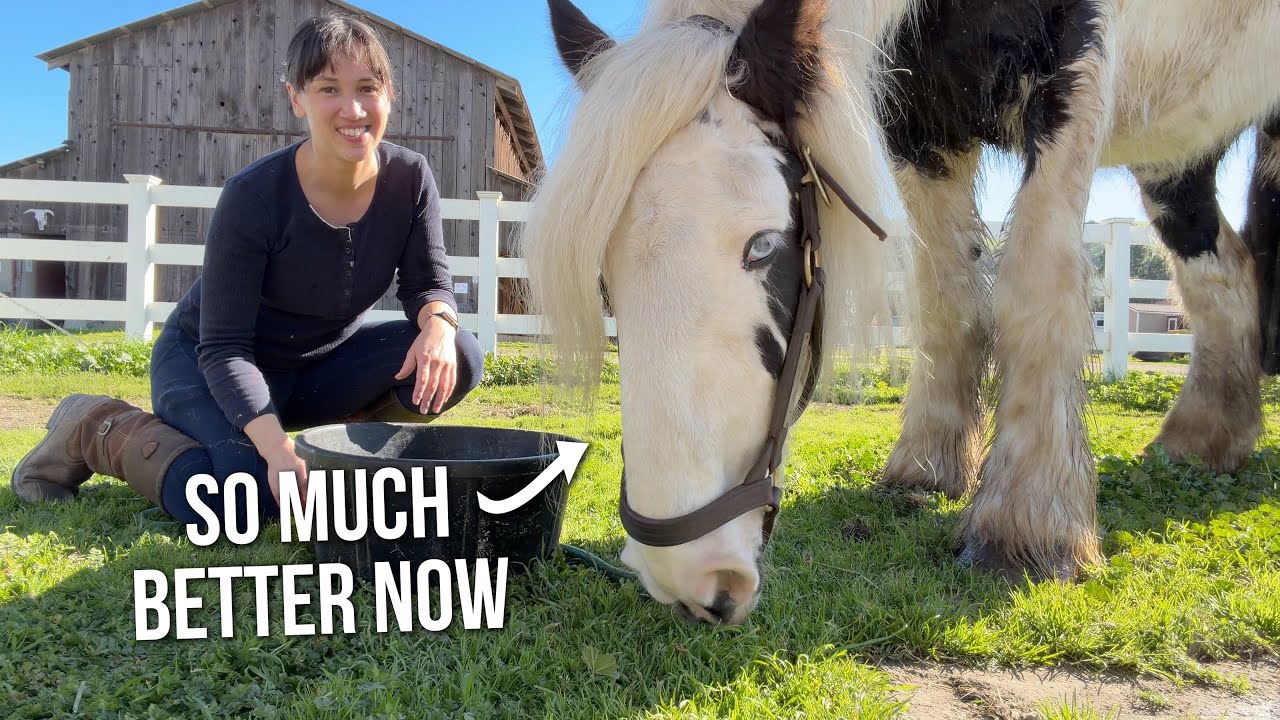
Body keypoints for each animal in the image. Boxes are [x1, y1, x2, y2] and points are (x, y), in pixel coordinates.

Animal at [521, 0, 1280, 625]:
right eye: (605, 276)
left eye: (763, 244)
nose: (686, 572)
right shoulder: (921, 123)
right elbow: (947, 297)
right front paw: (929, 465)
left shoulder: (1074, 53)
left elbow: (1036, 278)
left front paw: (1029, 528)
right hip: (1177, 151)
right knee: (1223, 275)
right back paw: (1204, 439)